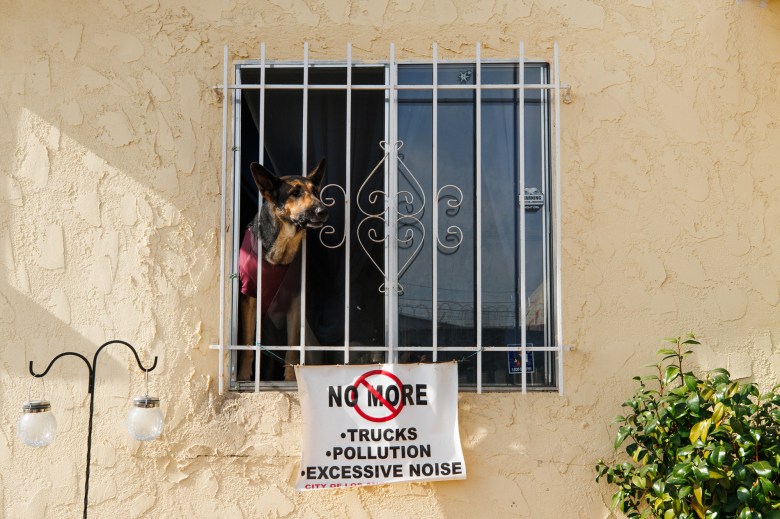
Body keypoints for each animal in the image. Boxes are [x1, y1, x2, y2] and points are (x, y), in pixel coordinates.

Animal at [235, 160, 326, 384]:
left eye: (316, 191)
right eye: (295, 192)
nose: (323, 210)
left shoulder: (295, 301)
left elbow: (292, 349)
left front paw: (291, 379)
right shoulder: (249, 298)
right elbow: (248, 345)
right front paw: (243, 376)